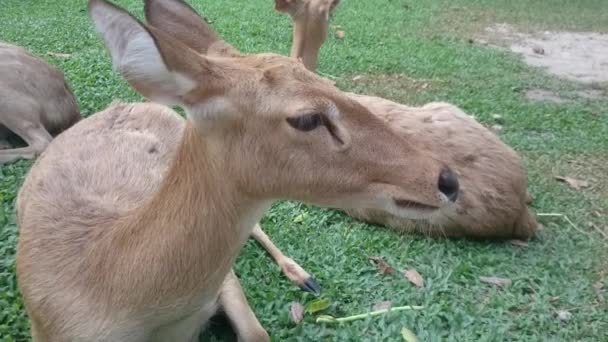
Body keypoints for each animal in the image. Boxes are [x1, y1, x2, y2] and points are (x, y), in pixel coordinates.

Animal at [15, 0, 460, 338]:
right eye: (307, 118)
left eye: (333, 85)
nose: (448, 180)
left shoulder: (223, 284)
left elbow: (257, 331)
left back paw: (303, 275)